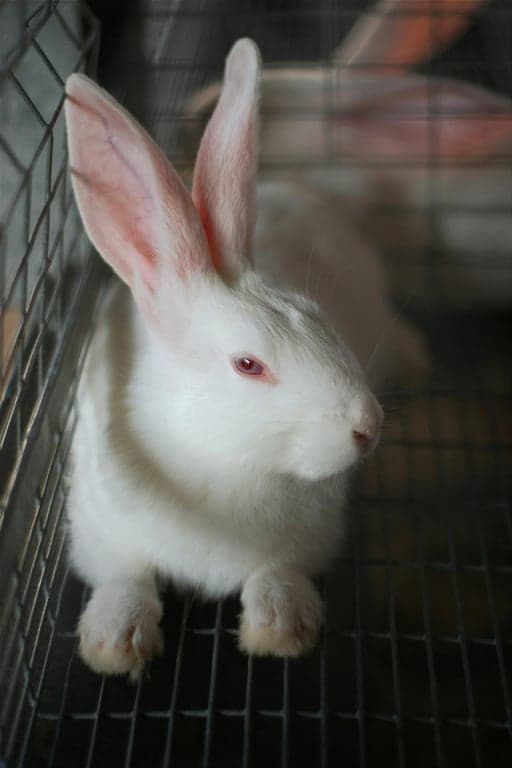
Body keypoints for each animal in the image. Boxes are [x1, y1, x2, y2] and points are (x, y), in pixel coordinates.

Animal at [63, 36, 441, 679]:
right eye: (248, 365)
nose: (368, 429)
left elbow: (276, 574)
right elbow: (125, 577)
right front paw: (113, 644)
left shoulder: (301, 545)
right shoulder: (100, 528)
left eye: (318, 316)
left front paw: (280, 631)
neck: (219, 460)